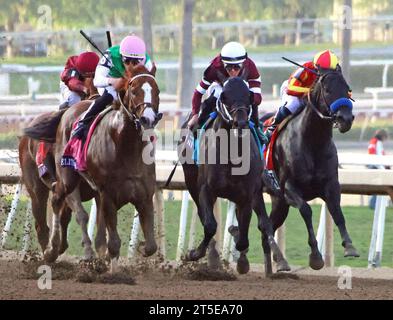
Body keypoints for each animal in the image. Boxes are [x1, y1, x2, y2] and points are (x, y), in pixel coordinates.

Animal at [180, 77, 288, 276]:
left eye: (248, 96)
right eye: (224, 96)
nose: (240, 123)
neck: (231, 154)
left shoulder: (246, 196)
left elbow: (244, 236)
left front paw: (242, 261)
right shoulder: (206, 190)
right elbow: (210, 225)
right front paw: (194, 253)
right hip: (190, 181)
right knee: (202, 213)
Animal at [264, 67, 358, 270]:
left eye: (347, 89)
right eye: (328, 90)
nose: (345, 119)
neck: (312, 141)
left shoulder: (331, 184)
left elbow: (337, 211)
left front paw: (349, 246)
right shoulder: (289, 188)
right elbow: (306, 210)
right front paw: (315, 256)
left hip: (278, 201)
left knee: (266, 227)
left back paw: (277, 262)